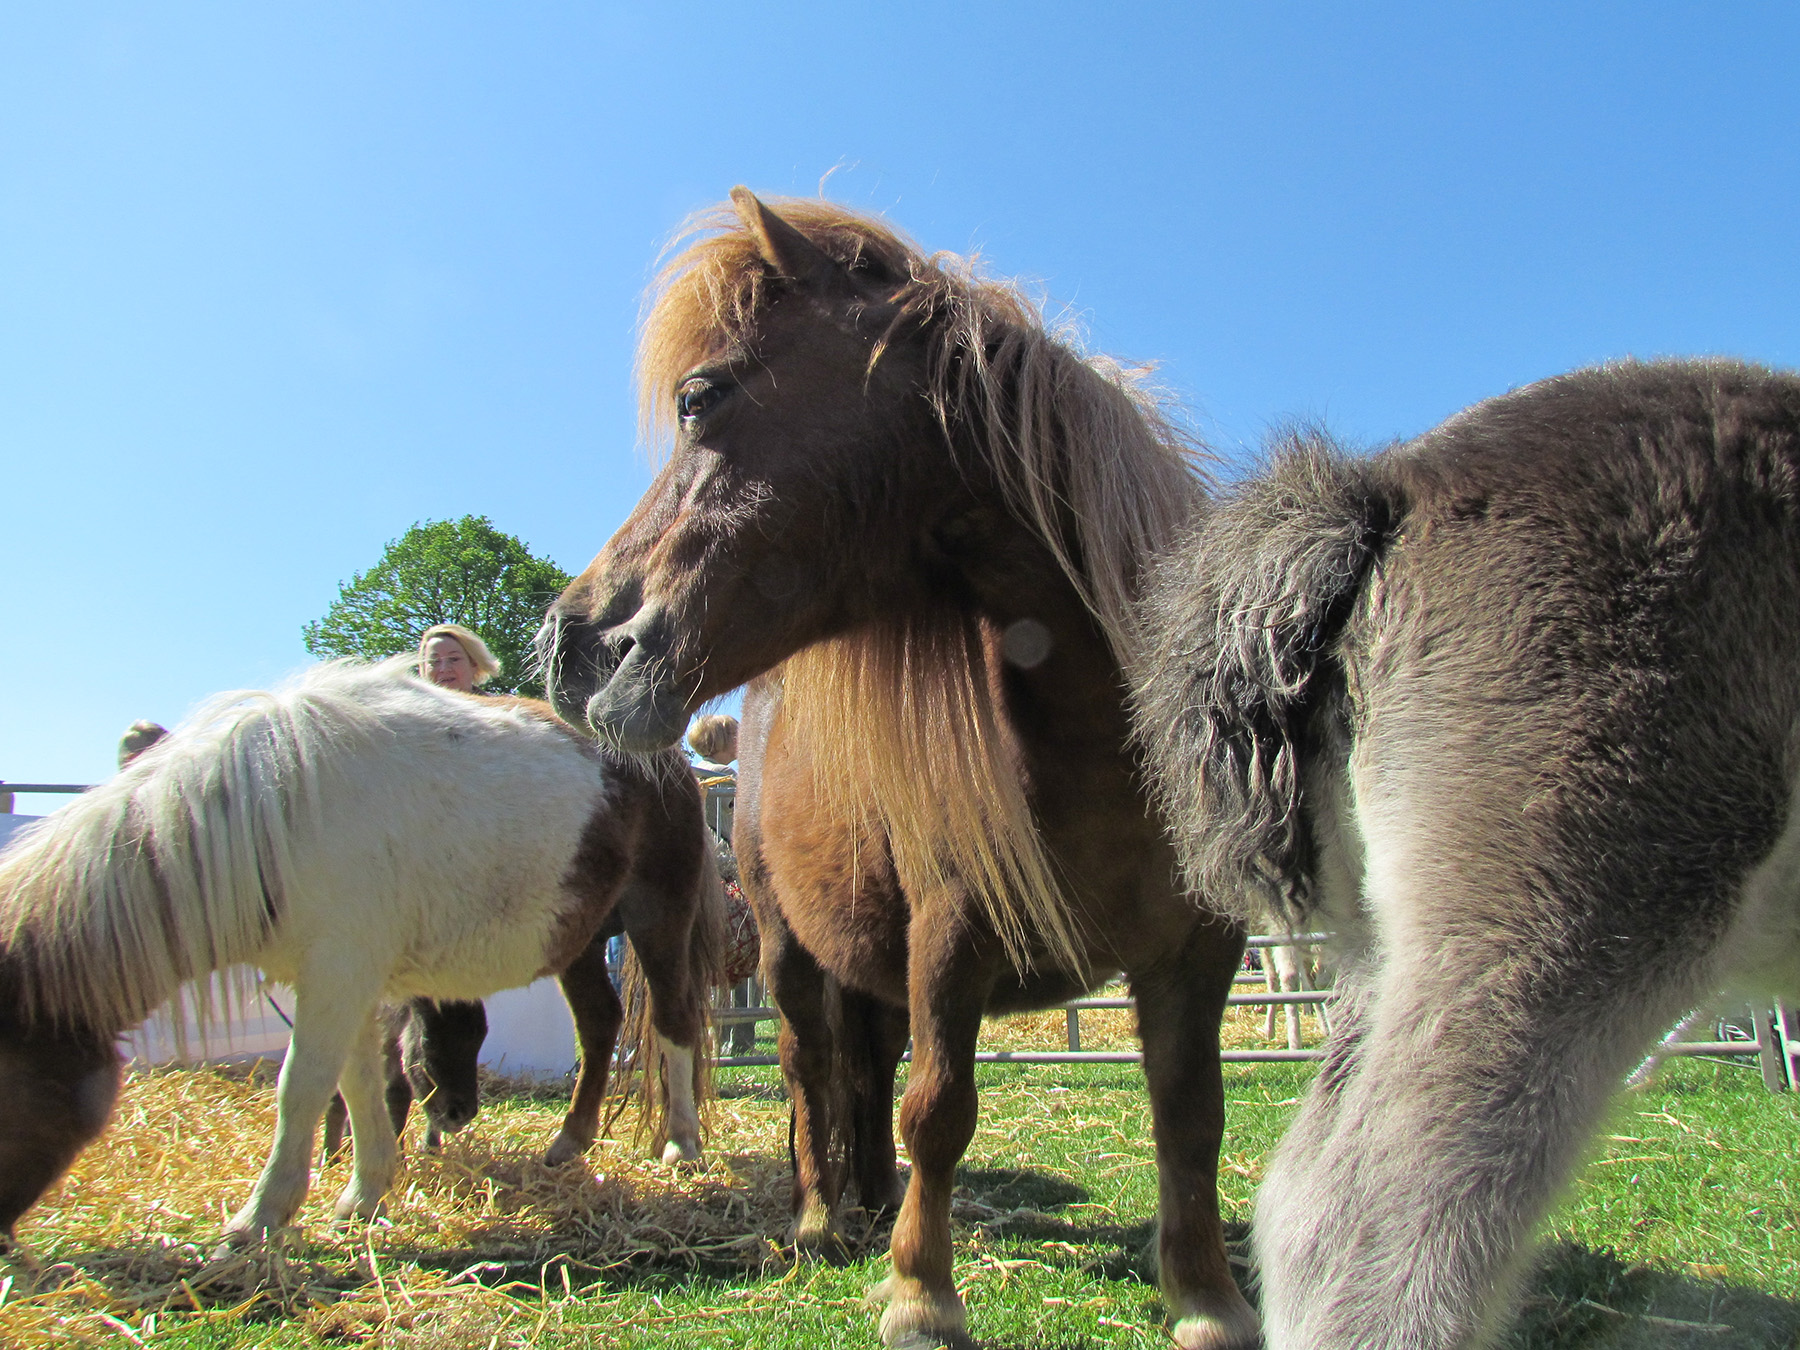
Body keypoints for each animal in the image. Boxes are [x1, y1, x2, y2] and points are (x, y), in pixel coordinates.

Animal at [0, 658, 724, 1247]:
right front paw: (363, 1192)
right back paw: (570, 1141)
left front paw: (261, 1217)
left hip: (657, 919)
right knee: (599, 1025)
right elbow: (355, 1081)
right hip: (579, 938)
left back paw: (681, 1144)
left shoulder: (339, 972)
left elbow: (303, 1084)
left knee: (673, 1022)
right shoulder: (336, 980)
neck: (271, 814)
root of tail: (666, 761)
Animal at [539, 190, 1257, 1350]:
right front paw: (923, 1294)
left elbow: (1191, 1115)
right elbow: (942, 1109)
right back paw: (822, 1220)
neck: (1096, 745)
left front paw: (1206, 1299)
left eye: (702, 396)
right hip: (788, 948)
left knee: (865, 1066)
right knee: (809, 1065)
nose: (575, 643)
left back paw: (871, 1198)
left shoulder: (1199, 951)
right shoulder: (951, 935)